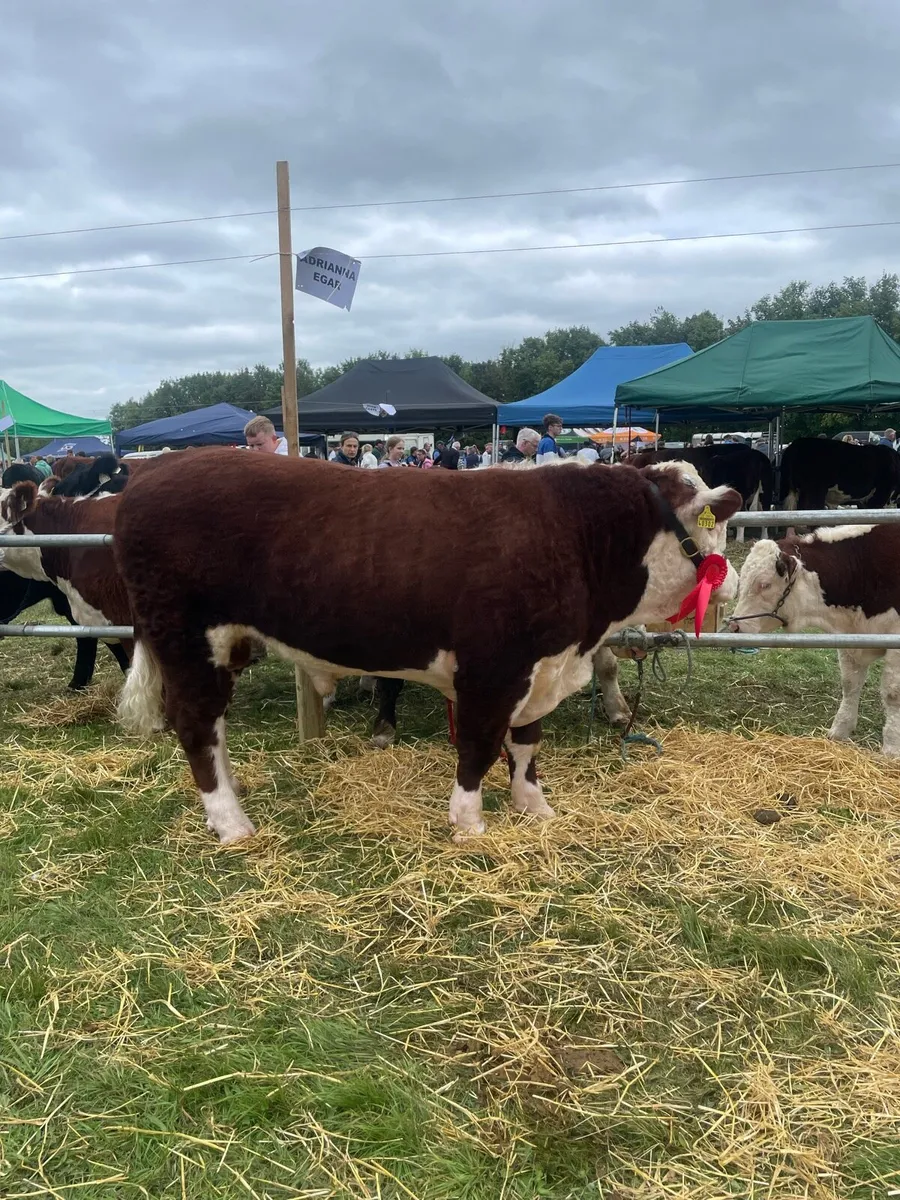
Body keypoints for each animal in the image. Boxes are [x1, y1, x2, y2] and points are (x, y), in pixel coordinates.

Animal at [112, 449, 741, 843]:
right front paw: (469, 822)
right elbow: (481, 746)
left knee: (212, 727)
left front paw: (533, 806)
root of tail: (153, 471)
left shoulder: (539, 667)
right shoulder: (492, 668)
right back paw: (231, 822)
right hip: (186, 637)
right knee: (197, 724)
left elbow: (527, 742)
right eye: (713, 526)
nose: (729, 580)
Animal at [729, 527, 900, 755]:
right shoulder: (851, 640)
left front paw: (891, 750)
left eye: (764, 584)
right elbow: (850, 683)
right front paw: (839, 732)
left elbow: (892, 693)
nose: (735, 627)